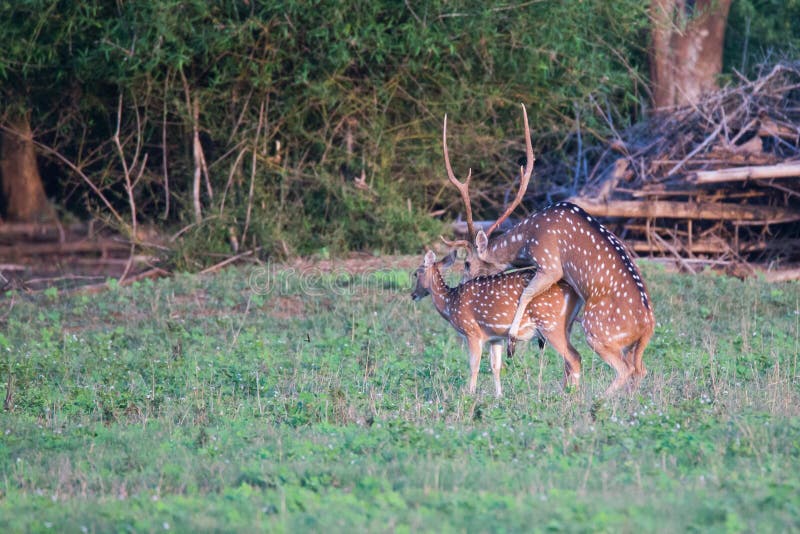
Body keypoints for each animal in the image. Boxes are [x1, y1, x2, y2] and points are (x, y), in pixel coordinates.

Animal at [412, 251, 580, 398]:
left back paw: (574, 397)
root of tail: (575, 294)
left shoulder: (472, 331)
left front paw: (470, 394)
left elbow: (474, 365)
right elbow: (496, 366)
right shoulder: (496, 337)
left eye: (416, 274)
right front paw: (499, 395)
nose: (413, 295)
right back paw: (564, 392)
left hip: (550, 324)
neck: (450, 303)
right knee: (568, 360)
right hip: (566, 326)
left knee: (574, 357)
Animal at [440, 105, 652, 398]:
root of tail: (648, 327)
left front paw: (512, 340)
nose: (462, 289)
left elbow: (525, 294)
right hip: (630, 345)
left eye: (468, 263)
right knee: (639, 369)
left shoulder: (549, 262)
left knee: (621, 368)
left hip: (596, 328)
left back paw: (597, 400)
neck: (527, 239)